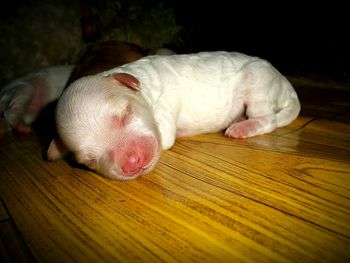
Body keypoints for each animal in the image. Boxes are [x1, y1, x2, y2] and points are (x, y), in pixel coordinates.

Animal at [47, 51, 300, 182]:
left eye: (125, 115)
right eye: (89, 161)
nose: (132, 163)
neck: (142, 85)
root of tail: (285, 83)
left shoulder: (164, 115)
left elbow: (166, 135)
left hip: (258, 85)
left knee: (268, 119)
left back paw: (242, 127)